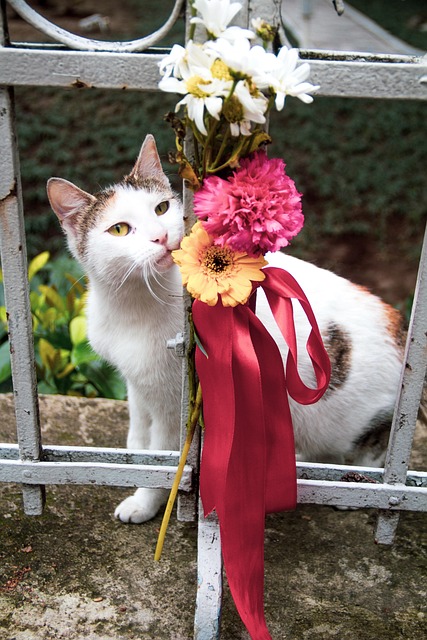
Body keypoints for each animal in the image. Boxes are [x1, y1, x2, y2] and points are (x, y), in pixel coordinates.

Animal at [46, 132, 404, 524]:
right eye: (120, 229)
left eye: (161, 209)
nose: (160, 237)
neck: (134, 301)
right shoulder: (137, 386)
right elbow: (138, 441)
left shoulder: (175, 404)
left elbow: (165, 458)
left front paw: (144, 502)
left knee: (371, 452)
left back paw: (354, 487)